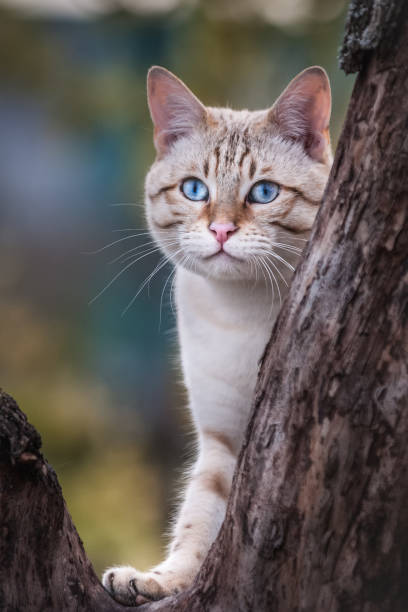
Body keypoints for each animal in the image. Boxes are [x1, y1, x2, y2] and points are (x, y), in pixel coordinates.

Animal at [101, 65, 332, 604]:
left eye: (264, 193)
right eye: (194, 190)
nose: (222, 231)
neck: (241, 311)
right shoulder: (222, 441)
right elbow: (197, 520)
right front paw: (160, 580)